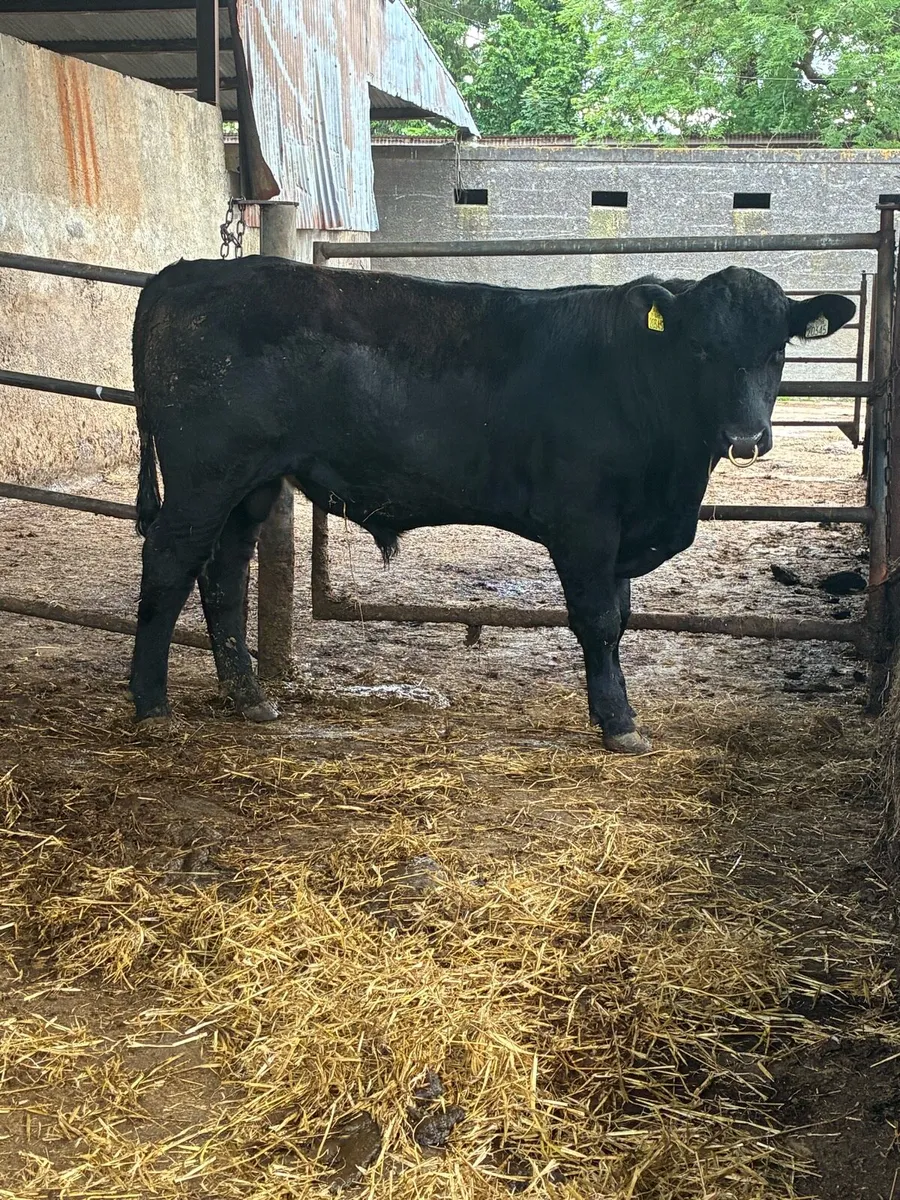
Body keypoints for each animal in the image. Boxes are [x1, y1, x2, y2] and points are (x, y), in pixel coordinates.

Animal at [128, 258, 855, 752]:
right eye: (701, 348)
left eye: (778, 349)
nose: (745, 437)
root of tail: (191, 271)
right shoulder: (585, 525)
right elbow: (599, 621)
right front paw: (619, 724)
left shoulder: (619, 534)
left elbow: (620, 618)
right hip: (205, 476)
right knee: (168, 563)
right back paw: (149, 701)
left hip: (250, 485)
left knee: (223, 575)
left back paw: (248, 697)